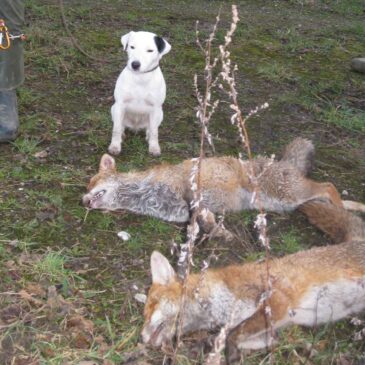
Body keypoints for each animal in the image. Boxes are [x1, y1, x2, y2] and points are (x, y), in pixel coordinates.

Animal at [83, 138, 364, 237]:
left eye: (92, 183)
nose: (83, 201)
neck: (144, 194)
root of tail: (284, 163)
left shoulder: (189, 189)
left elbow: (198, 210)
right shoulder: (183, 211)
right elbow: (199, 219)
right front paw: (216, 230)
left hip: (288, 195)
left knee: (329, 186)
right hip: (287, 202)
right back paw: (355, 209)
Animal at [141, 203, 364, 360]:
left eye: (151, 307)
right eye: (145, 313)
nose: (141, 338)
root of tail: (355, 242)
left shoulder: (277, 300)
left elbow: (234, 334)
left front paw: (229, 355)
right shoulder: (271, 329)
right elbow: (238, 337)